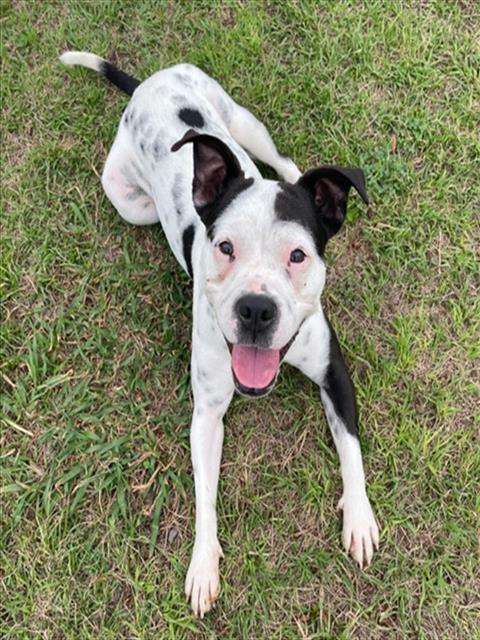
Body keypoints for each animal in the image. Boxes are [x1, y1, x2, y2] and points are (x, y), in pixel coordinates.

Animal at [60, 51, 379, 617]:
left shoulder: (334, 372)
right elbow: (204, 494)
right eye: (224, 247)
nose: (256, 308)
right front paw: (203, 564)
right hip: (132, 203)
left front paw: (359, 517)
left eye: (298, 255)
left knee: (285, 163)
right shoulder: (206, 415)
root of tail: (150, 84)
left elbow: (351, 448)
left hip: (245, 123)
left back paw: (300, 179)